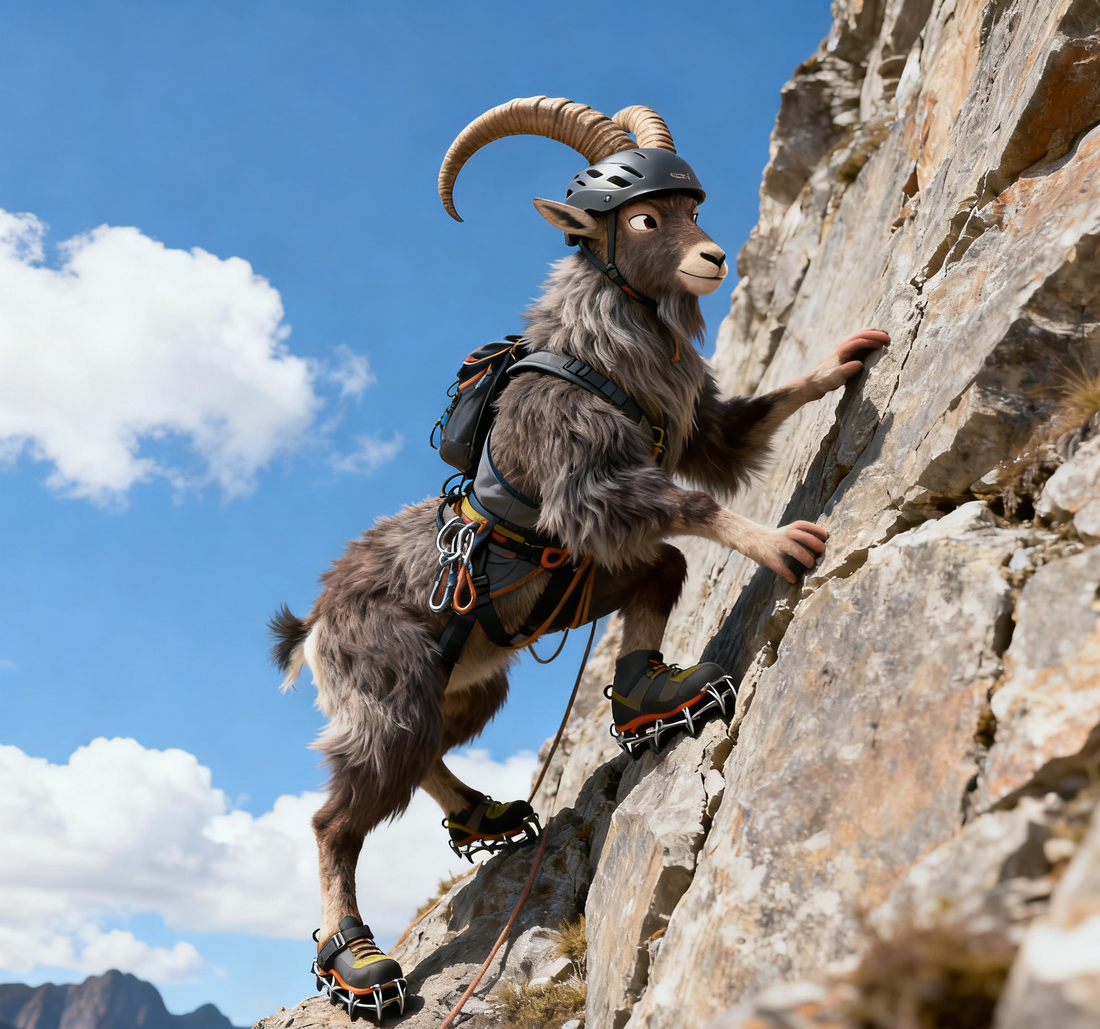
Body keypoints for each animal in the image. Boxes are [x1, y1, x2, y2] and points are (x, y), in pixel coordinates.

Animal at [271, 96, 888, 1014]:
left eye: (691, 206)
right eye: (644, 217)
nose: (714, 256)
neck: (598, 353)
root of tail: (312, 624)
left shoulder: (649, 489)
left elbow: (719, 461)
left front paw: (657, 701)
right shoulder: (588, 481)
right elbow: (694, 503)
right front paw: (780, 542)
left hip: (475, 676)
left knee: (429, 756)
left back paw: (484, 812)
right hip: (389, 691)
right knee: (336, 819)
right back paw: (357, 963)